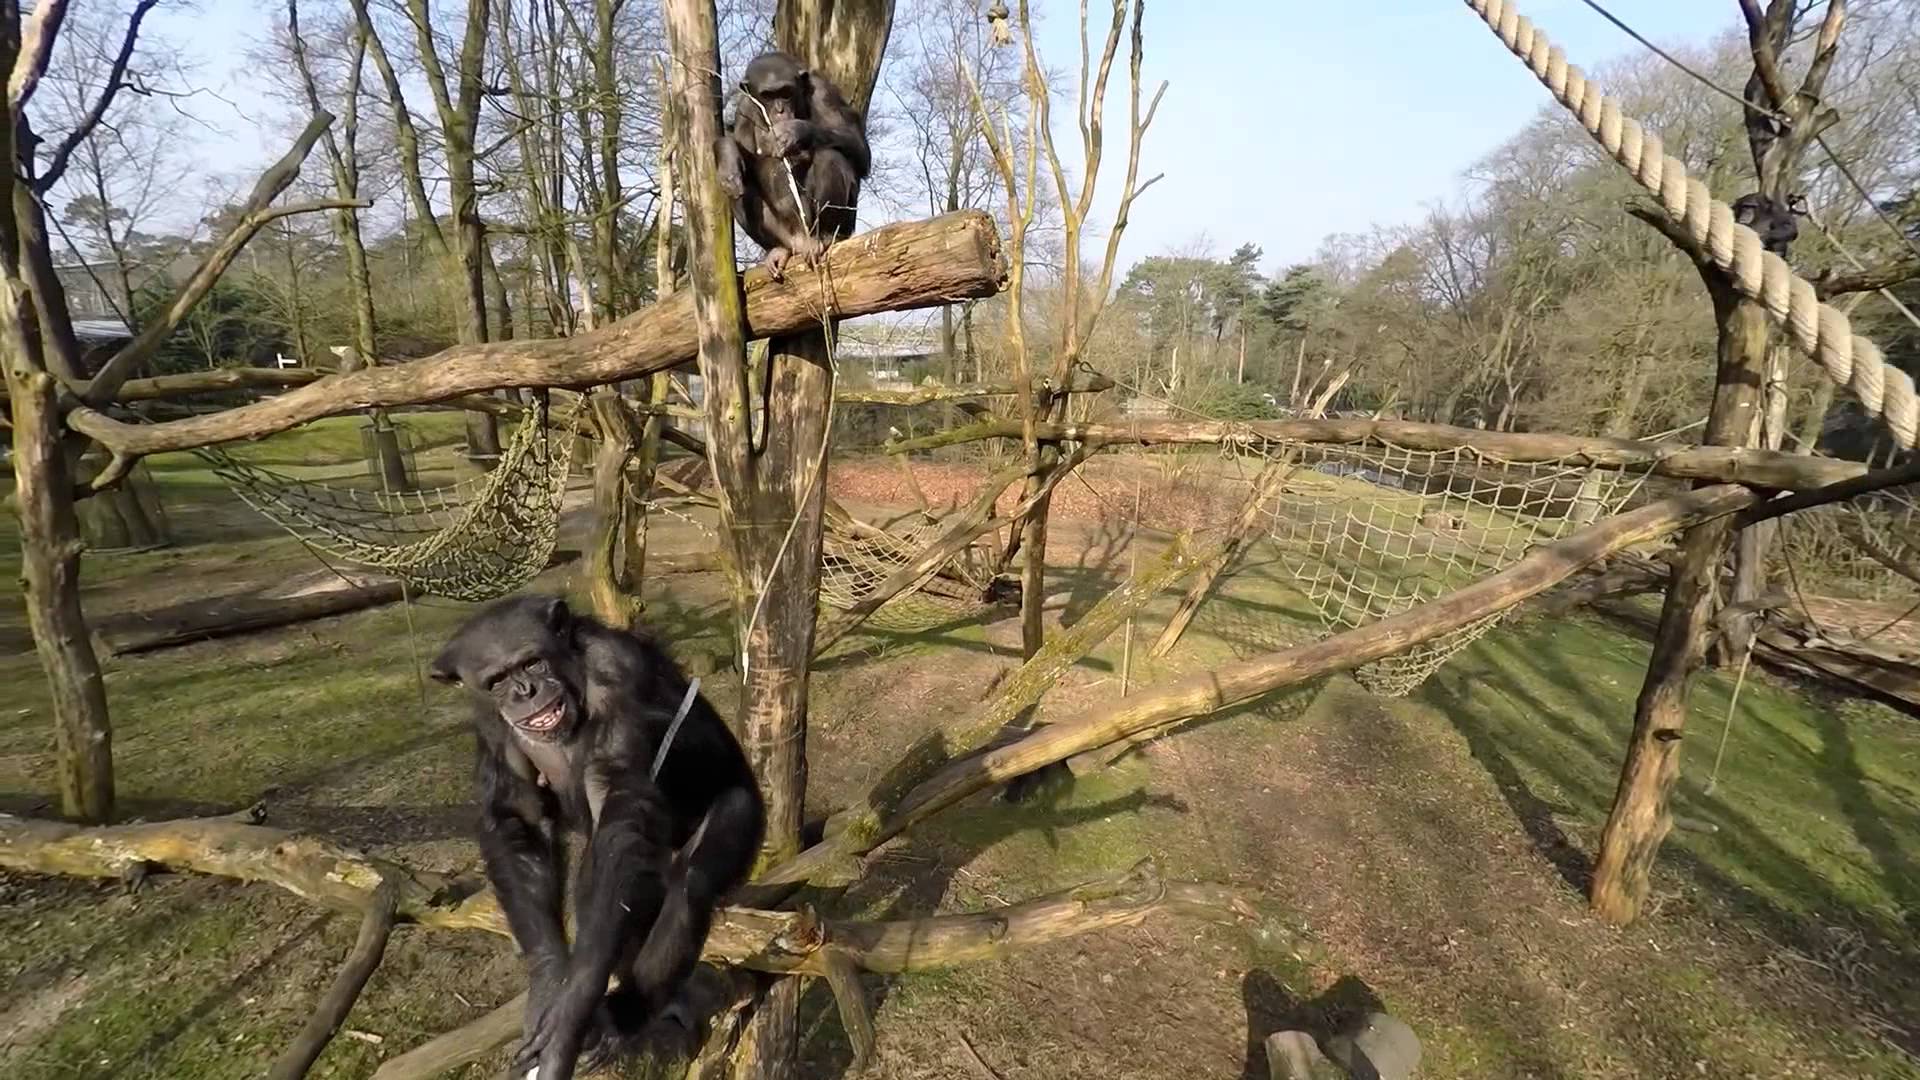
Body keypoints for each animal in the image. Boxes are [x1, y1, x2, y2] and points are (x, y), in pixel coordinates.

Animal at [432, 591, 768, 1076]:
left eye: (532, 662)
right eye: (496, 680)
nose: (523, 691)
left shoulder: (618, 673)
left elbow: (618, 798)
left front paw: (573, 1007)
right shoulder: (488, 719)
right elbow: (520, 814)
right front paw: (550, 980)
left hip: (745, 808)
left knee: (688, 882)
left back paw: (622, 1014)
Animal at [718, 50, 875, 278]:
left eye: (786, 93)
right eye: (768, 96)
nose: (780, 110)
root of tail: (801, 240)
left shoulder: (823, 92)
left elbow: (859, 148)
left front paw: (793, 130)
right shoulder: (744, 110)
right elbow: (743, 153)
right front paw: (728, 157)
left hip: (828, 227)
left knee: (831, 157)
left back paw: (826, 236)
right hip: (786, 232)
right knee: (739, 188)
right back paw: (778, 249)